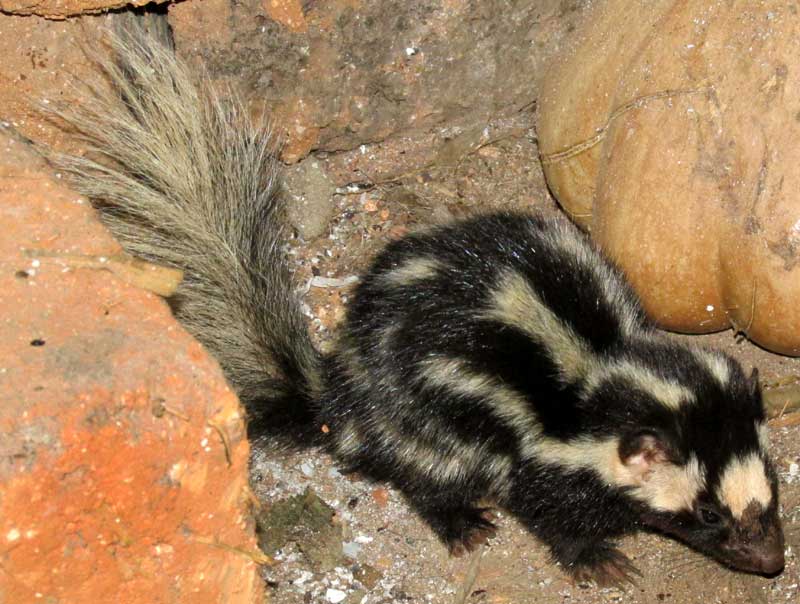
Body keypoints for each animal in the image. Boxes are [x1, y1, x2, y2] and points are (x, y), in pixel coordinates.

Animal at [51, 16, 788, 588]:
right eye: (710, 515)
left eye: (772, 490)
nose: (772, 560)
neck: (597, 369)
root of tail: (340, 391)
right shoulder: (535, 447)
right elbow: (541, 501)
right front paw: (597, 559)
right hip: (421, 415)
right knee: (425, 469)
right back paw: (461, 522)